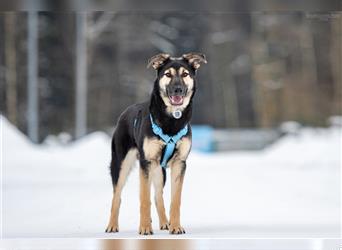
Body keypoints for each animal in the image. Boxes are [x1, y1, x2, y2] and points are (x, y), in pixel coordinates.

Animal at [105, 52, 206, 234]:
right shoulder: (146, 163)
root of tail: (125, 112)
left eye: (185, 74)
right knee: (117, 196)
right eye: (168, 74)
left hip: (160, 170)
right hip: (122, 164)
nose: (178, 89)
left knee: (158, 196)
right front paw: (145, 228)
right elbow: (144, 199)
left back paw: (165, 223)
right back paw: (112, 225)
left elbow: (175, 200)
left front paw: (176, 226)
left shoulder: (180, 163)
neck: (172, 119)